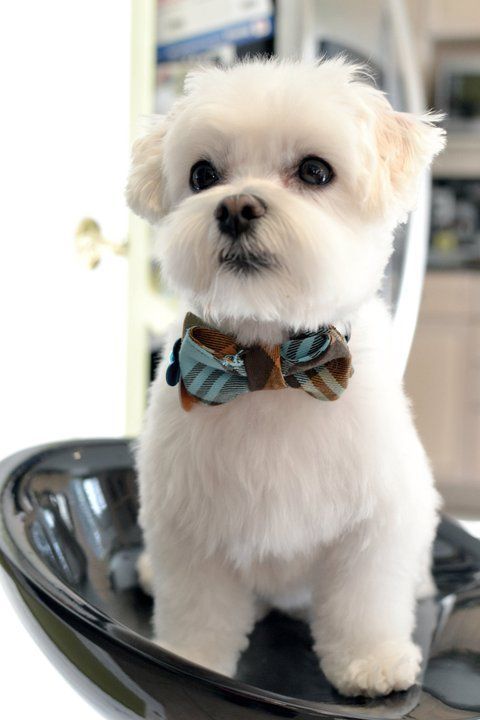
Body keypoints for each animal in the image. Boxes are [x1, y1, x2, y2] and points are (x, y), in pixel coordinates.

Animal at [126, 57, 446, 696]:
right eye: (202, 175)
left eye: (315, 170)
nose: (235, 207)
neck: (269, 365)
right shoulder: (188, 521)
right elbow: (197, 608)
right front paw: (190, 658)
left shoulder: (375, 518)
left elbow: (367, 599)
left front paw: (371, 661)